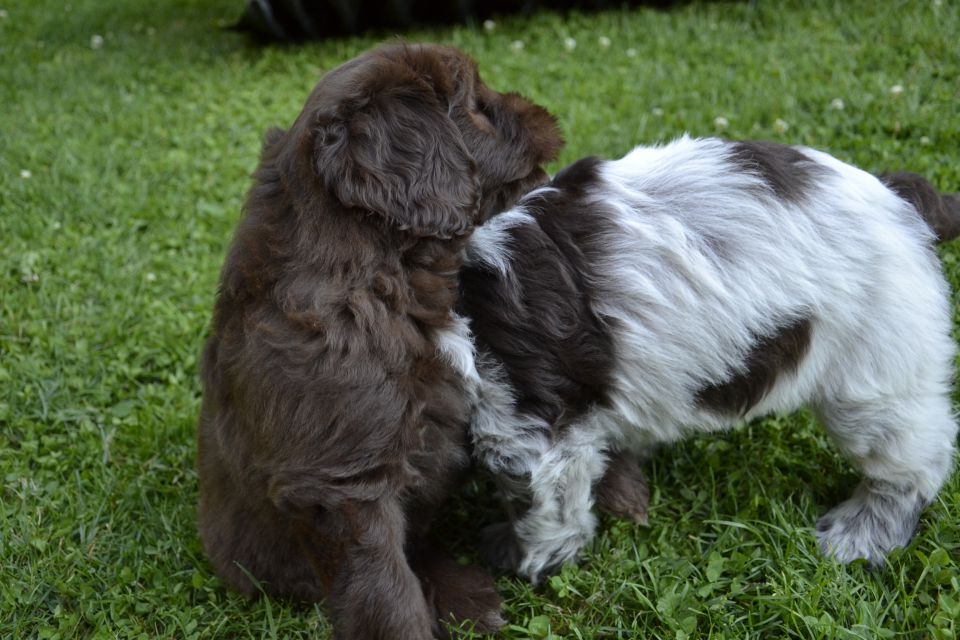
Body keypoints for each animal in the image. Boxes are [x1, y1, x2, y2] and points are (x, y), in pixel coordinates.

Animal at [460, 138, 960, 584]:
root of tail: (900, 198)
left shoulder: (522, 416)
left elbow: (540, 501)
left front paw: (522, 556)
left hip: (873, 373)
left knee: (909, 462)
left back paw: (861, 533)